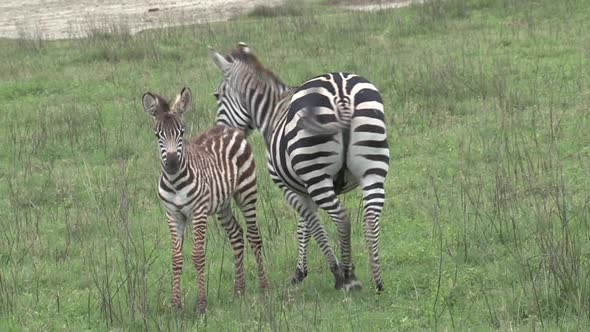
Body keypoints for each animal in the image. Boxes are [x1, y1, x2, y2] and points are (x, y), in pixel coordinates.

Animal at [143, 86, 270, 314]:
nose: (172, 164)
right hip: (223, 204)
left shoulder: (198, 212)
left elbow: (198, 255)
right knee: (236, 235)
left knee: (254, 236)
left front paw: (202, 304)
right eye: (158, 135)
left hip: (247, 191)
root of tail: (229, 127)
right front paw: (176, 305)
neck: (175, 182)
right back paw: (239, 290)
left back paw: (264, 287)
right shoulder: (173, 214)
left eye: (182, 132)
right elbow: (176, 257)